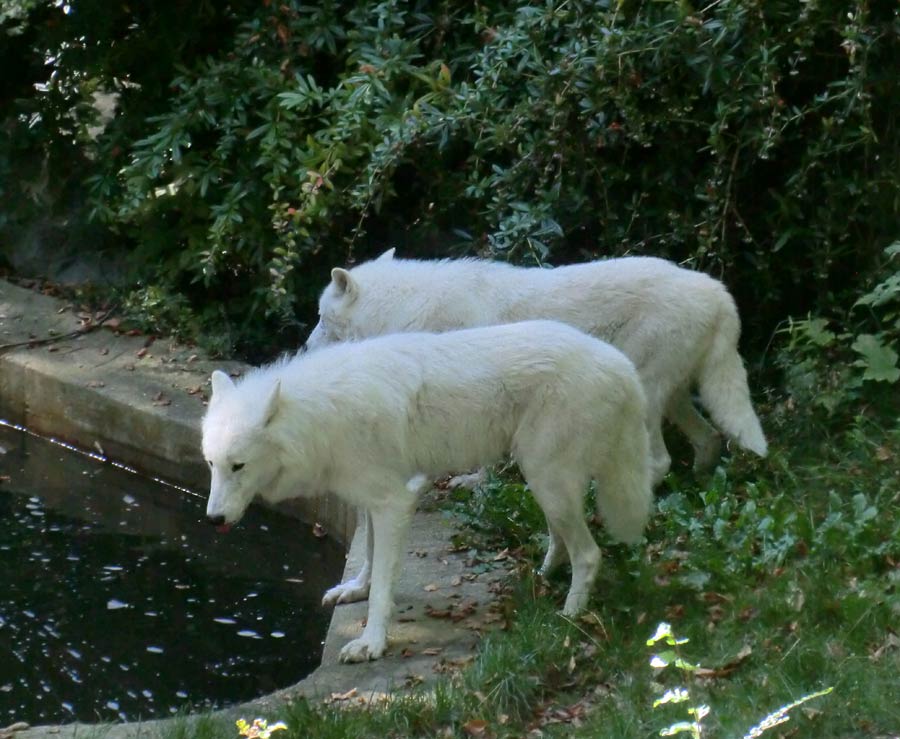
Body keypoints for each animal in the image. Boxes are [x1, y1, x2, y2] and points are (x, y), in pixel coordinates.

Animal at [200, 324, 652, 664]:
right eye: (211, 464)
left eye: (238, 466)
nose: (213, 520)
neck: (318, 416)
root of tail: (623, 365)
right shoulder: (372, 500)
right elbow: (368, 555)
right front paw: (355, 589)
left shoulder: (395, 501)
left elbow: (384, 582)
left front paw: (371, 643)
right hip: (543, 480)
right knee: (561, 540)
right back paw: (542, 579)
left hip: (548, 479)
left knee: (589, 554)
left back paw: (568, 618)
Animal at [308, 253, 768, 486]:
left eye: (320, 317)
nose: (306, 347)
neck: (404, 307)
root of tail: (718, 291)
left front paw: (474, 485)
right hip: (675, 399)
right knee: (708, 439)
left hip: (648, 395)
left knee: (661, 461)